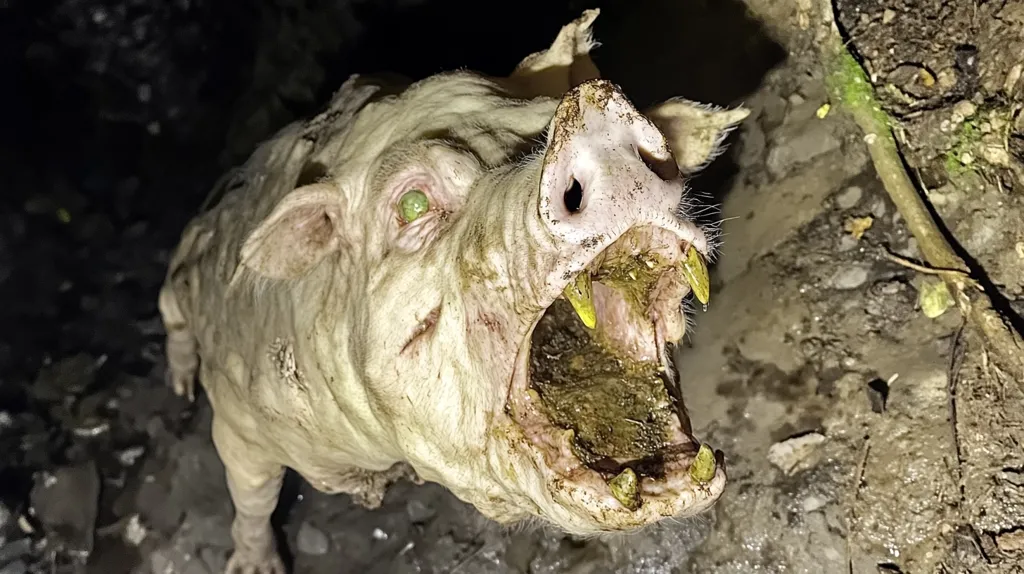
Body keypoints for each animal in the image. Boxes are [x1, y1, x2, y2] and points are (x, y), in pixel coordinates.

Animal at [158, 9, 748, 573]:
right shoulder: (239, 406)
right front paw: (253, 567)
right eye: (413, 204)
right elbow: (250, 491)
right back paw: (181, 387)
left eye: (551, 115)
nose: (591, 114)